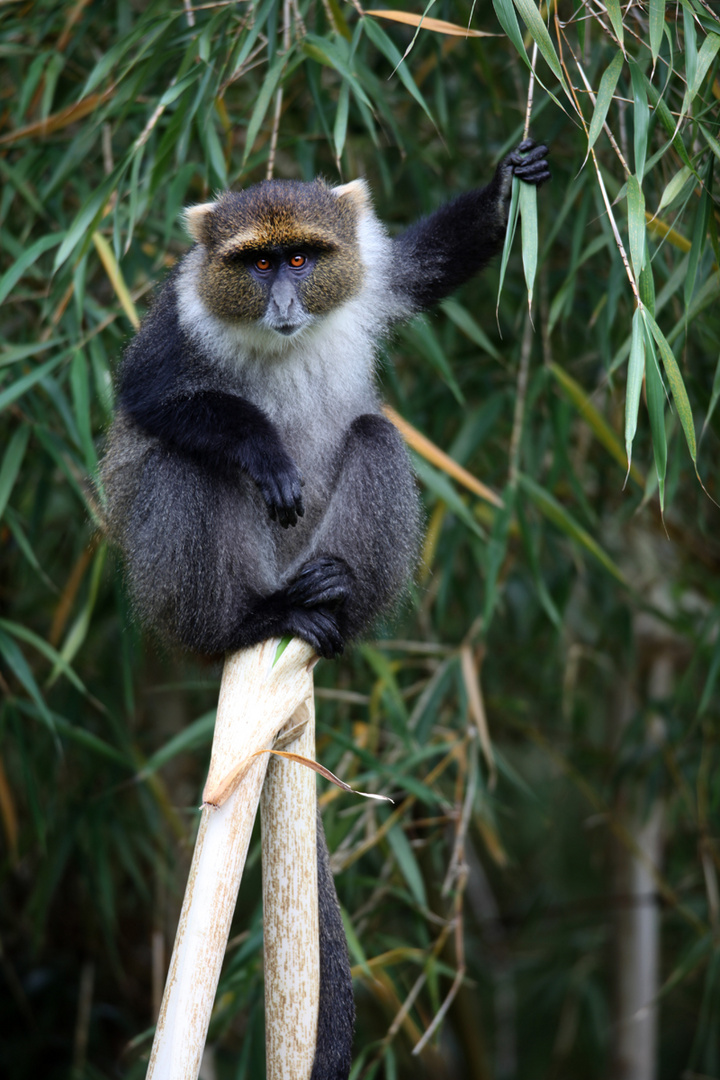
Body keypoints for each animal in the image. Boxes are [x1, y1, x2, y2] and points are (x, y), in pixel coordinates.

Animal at [101, 139, 552, 1075]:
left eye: (303, 259)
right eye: (257, 263)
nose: (282, 301)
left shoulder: (369, 274)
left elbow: (420, 267)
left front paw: (505, 184)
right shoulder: (175, 323)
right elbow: (151, 398)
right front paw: (262, 450)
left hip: (333, 559)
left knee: (376, 436)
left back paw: (331, 612)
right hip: (181, 593)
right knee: (185, 463)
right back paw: (254, 622)